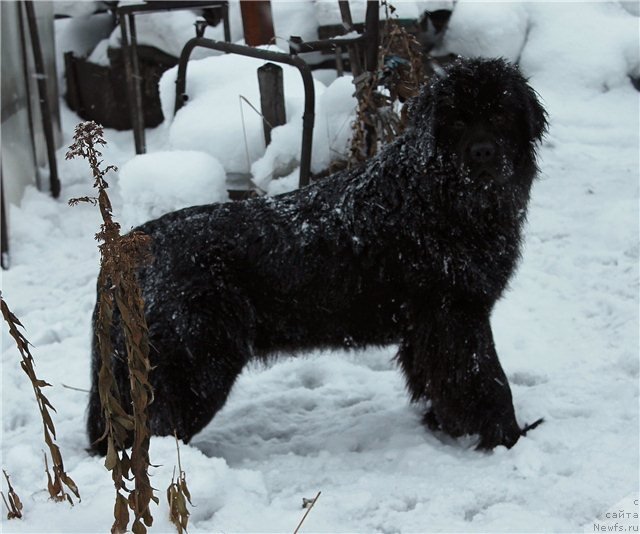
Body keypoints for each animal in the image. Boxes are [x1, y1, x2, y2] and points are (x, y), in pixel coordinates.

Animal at [87, 57, 548, 456]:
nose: (483, 152)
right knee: (157, 429)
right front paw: (507, 437)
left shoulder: (429, 324)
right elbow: (486, 380)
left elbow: (441, 380)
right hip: (196, 360)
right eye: (456, 120)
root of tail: (127, 249)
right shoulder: (458, 313)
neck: (438, 195)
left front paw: (446, 426)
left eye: (501, 114)